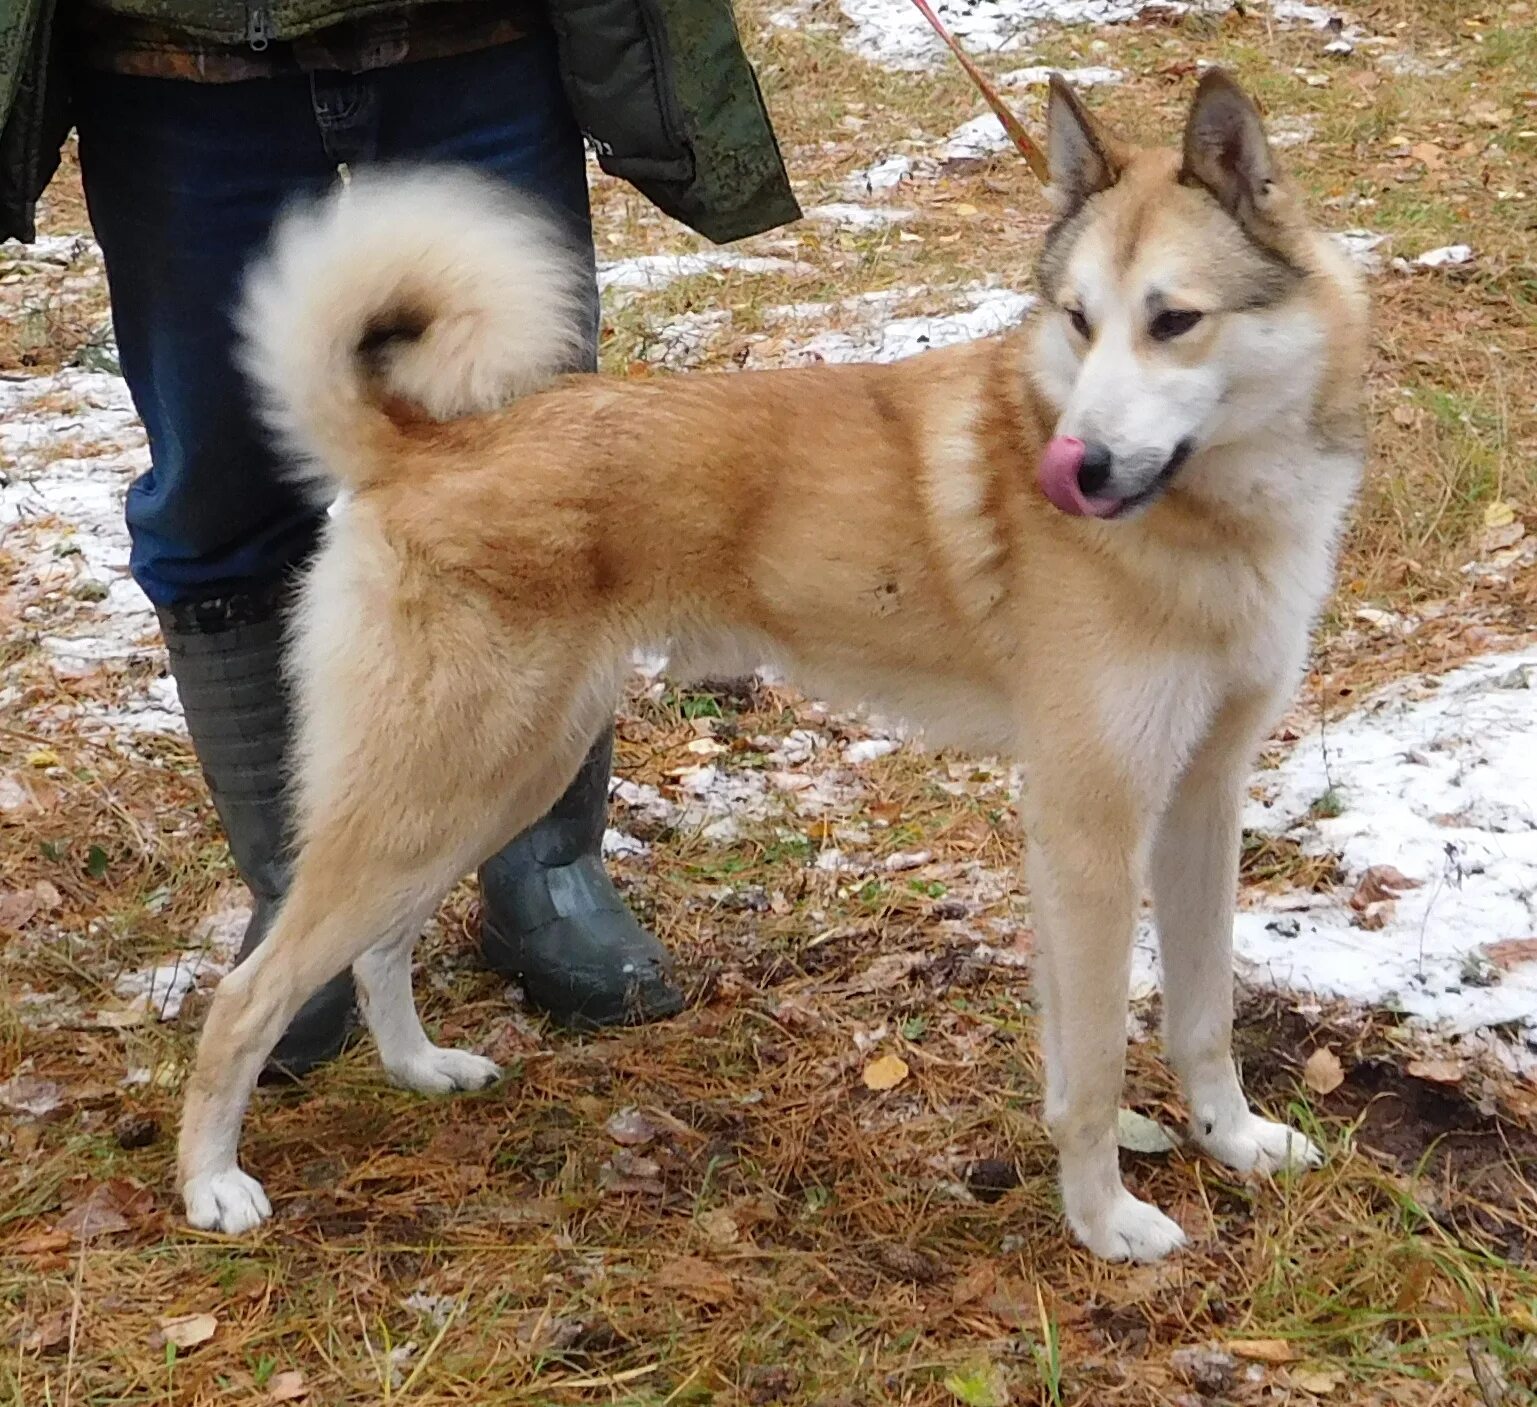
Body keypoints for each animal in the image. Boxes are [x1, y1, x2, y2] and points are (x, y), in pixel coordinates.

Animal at [179, 71, 1371, 1267]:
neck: (1211, 519)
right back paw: (212, 1184)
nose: (1070, 471)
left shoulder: (1202, 799)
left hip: (497, 781)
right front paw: (1104, 1219)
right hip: (444, 784)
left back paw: (418, 1069)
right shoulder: (1087, 832)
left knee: (379, 949)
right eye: (1078, 321)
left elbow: (1204, 1015)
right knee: (247, 997)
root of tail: (420, 444)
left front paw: (1233, 1141)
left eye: (1173, 321)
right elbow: (1092, 1071)